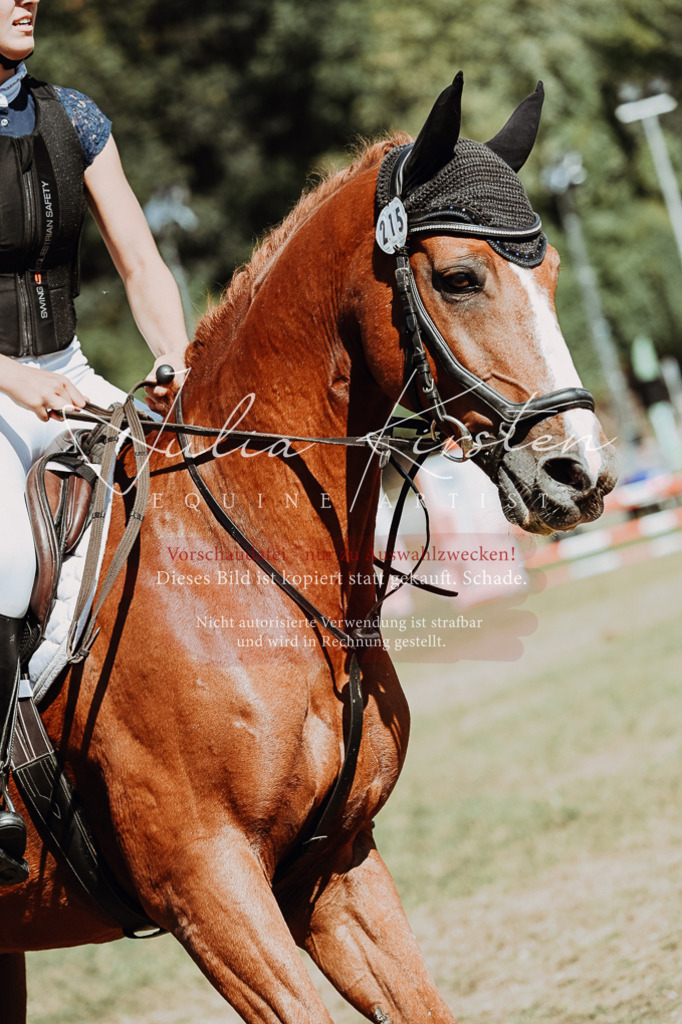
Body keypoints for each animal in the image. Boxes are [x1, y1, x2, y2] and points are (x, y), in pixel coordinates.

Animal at [0, 74, 618, 1023]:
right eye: (460, 278)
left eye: (549, 273)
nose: (578, 472)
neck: (244, 562)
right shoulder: (208, 887)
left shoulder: (335, 866)